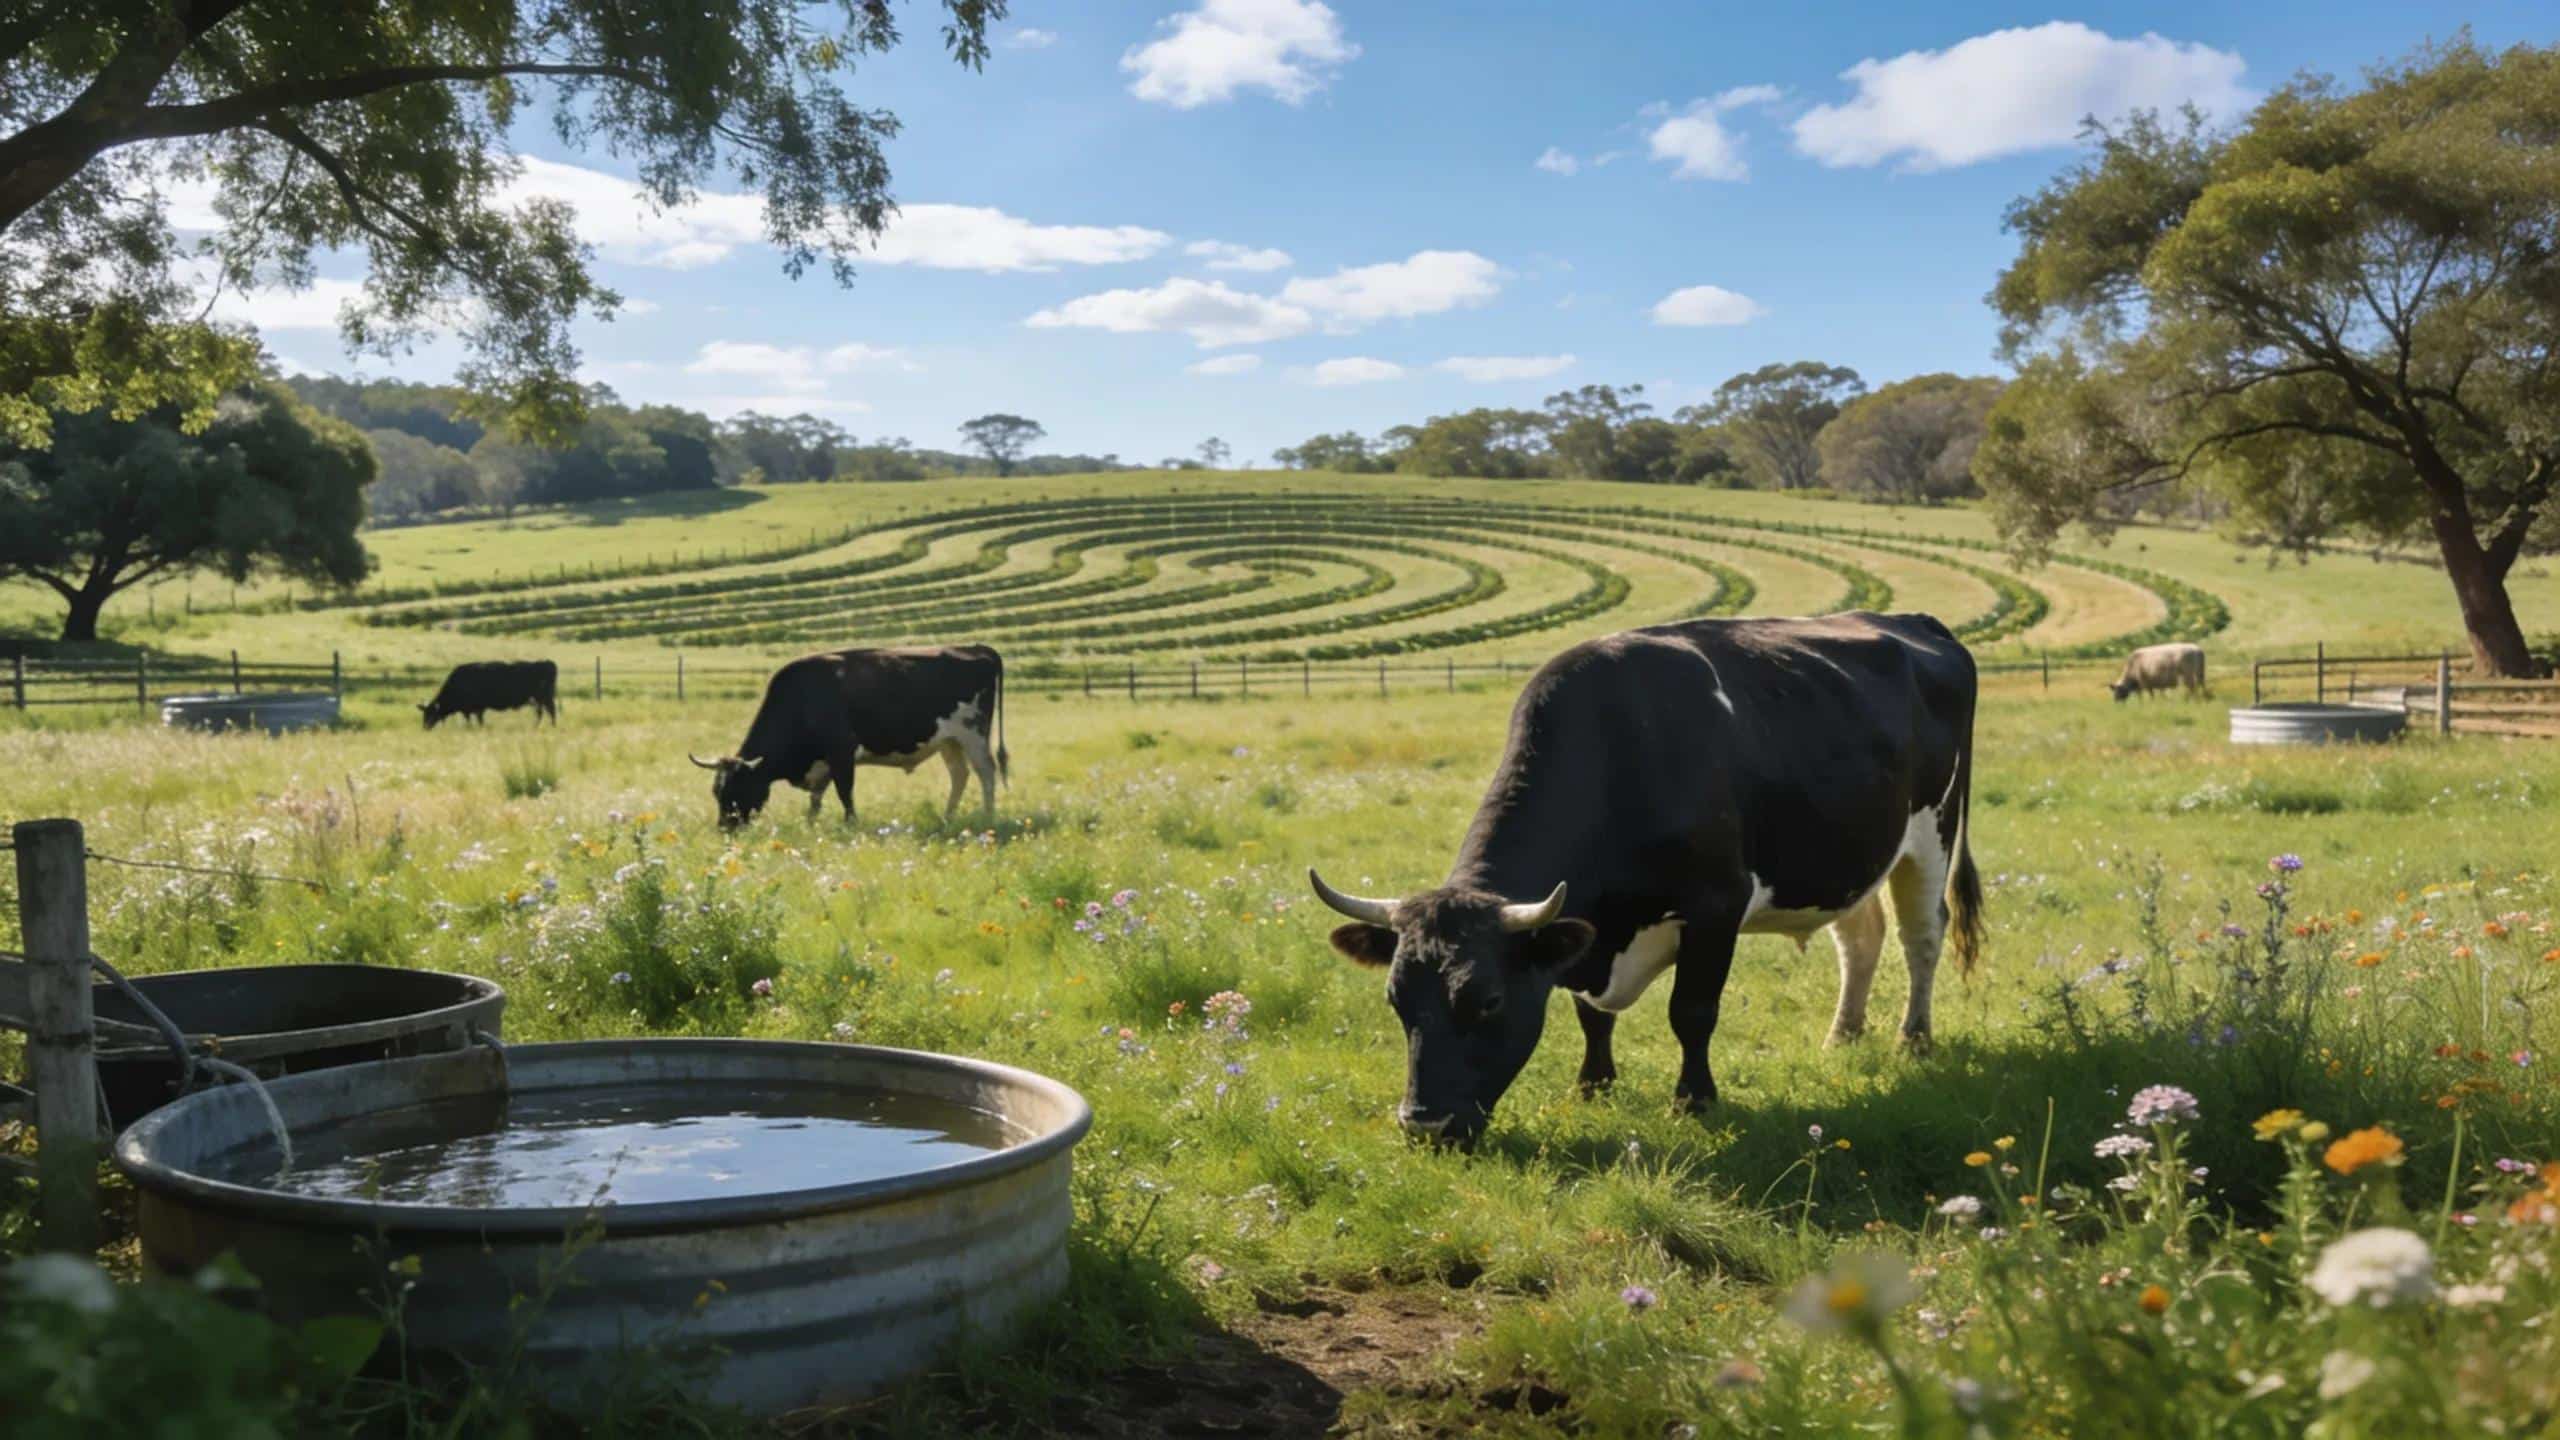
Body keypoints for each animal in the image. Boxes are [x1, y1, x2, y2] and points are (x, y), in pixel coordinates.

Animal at [420, 660, 558, 729]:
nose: (425, 728)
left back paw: (550, 726)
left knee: (550, 711)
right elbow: (475, 718)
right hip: (539, 699)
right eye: (424, 714)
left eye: (431, 714)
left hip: (543, 697)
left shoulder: (475, 708)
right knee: (542, 712)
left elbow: (475, 719)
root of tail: (546, 662)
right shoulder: (473, 708)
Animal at [690, 644, 1008, 831]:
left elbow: (845, 792)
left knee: (986, 772)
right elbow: (817, 800)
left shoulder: (842, 752)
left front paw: (851, 825)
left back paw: (988, 817)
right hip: (949, 740)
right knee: (960, 774)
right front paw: (811, 825)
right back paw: (948, 818)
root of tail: (977, 648)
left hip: (974, 733)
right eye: (716, 791)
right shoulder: (823, 764)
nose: (726, 829)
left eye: (738, 789)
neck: (803, 698)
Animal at [1308, 613, 1983, 1149]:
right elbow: (1591, 1016)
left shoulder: (1716, 907)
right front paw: (1593, 1086)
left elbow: (1692, 1011)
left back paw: (1912, 1040)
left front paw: (1694, 1100)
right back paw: (1843, 1035)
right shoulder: (1584, 930)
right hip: (1844, 853)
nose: (1425, 1126)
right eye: (1396, 1001)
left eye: (1489, 1001)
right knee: (1861, 937)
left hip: (1933, 832)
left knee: (1922, 937)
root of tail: (1913, 621)